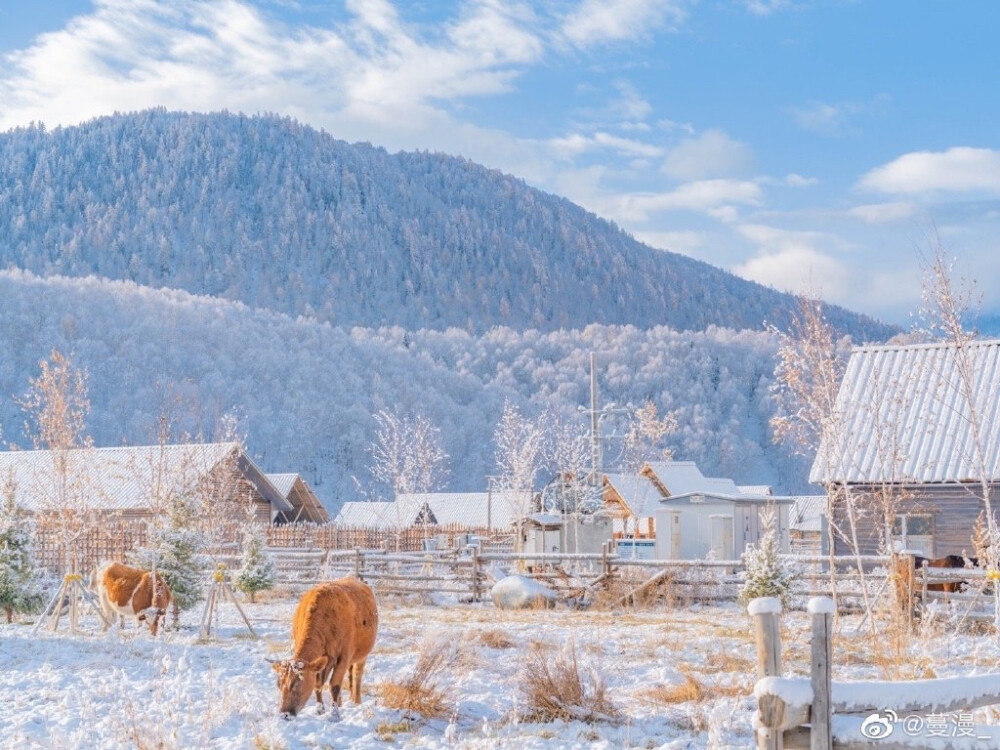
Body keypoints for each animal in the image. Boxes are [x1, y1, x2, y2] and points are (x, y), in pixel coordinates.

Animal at [270, 580, 378, 720]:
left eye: (297, 684)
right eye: (279, 684)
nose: (285, 714)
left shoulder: (343, 656)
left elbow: (334, 685)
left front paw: (334, 714)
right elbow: (318, 685)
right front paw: (320, 710)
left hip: (362, 656)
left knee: (356, 675)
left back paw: (356, 701)